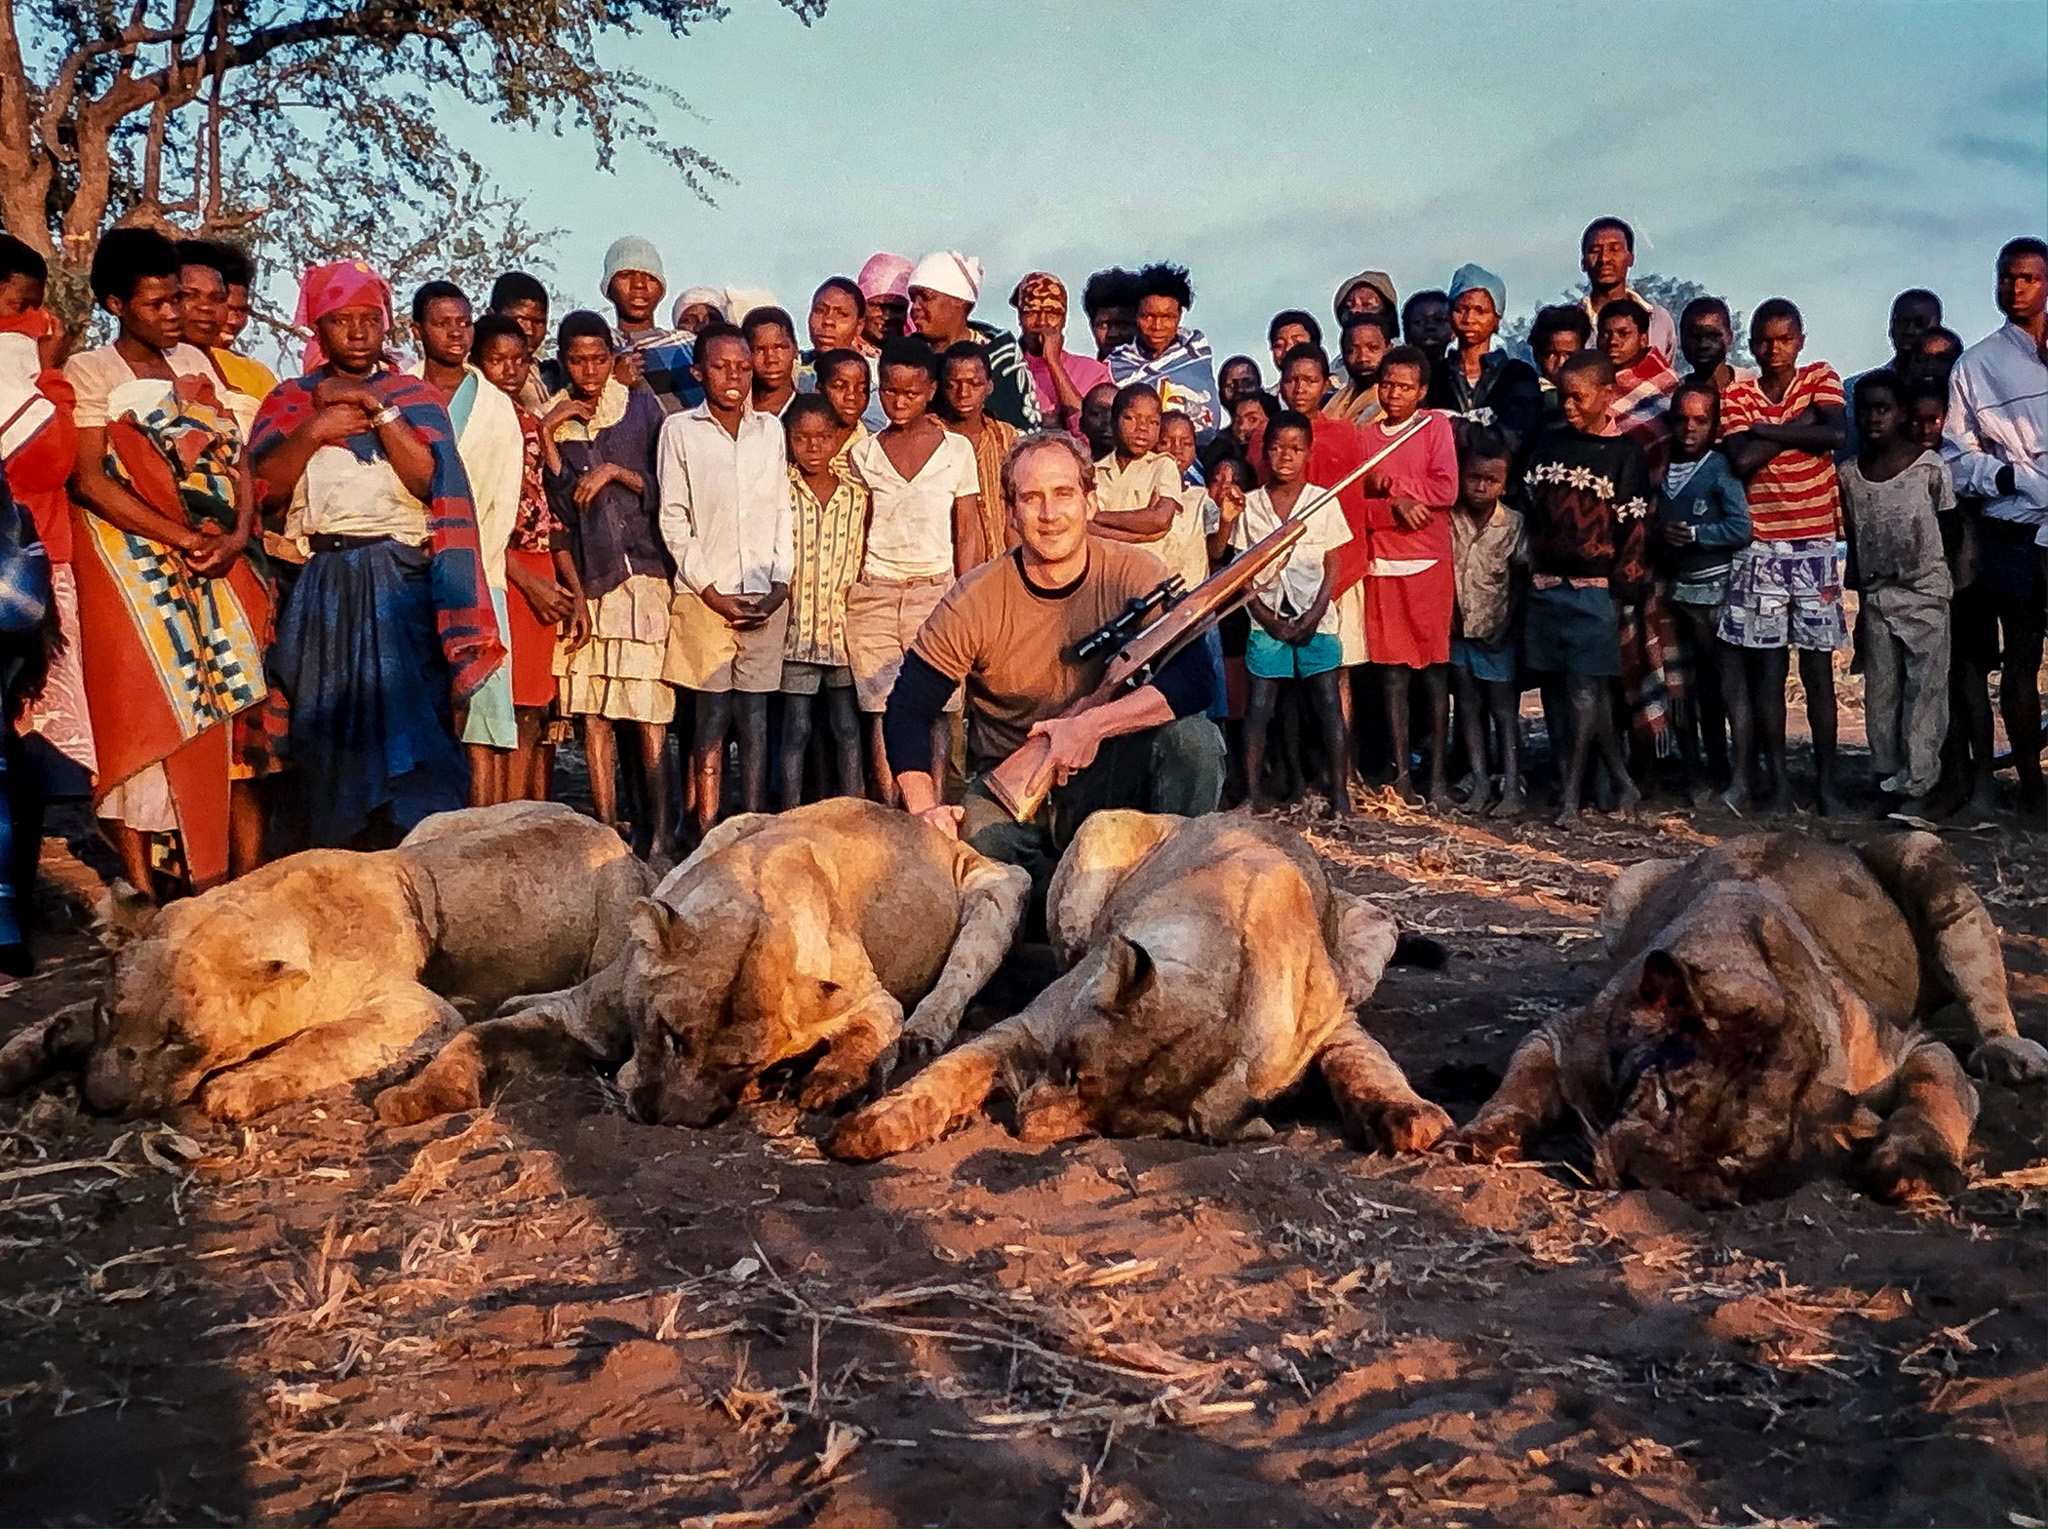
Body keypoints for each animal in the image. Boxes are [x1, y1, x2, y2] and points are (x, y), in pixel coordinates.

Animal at [372, 794, 1024, 1129]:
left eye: (737, 1063)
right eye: (669, 1033)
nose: (674, 1119)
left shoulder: (865, 993)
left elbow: (873, 1024)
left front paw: (831, 1078)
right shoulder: (584, 1016)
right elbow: (476, 1037)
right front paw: (412, 1096)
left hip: (1001, 886)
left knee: (950, 988)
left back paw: (918, 1035)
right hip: (729, 824)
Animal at [823, 814, 1449, 1162]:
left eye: (1110, 1130)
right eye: (1071, 1071)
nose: (1024, 1125)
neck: (1229, 985)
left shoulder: (1335, 1020)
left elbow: (1366, 1064)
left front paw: (1412, 1115)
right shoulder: (1029, 1027)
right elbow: (947, 1074)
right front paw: (870, 1126)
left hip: (1372, 938)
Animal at [1458, 831, 2048, 1203]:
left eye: (1732, 1158)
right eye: (1665, 1097)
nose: (1641, 1177)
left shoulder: (1911, 1045)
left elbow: (1933, 1093)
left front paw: (1915, 1165)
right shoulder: (1559, 1036)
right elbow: (1521, 1085)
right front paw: (1485, 1133)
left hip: (1925, 854)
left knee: (1985, 989)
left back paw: (2009, 1053)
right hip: (1628, 883)